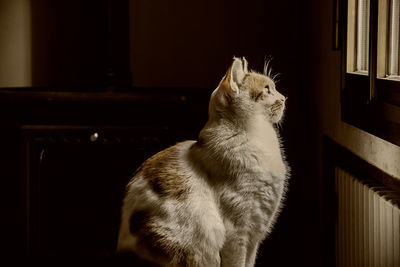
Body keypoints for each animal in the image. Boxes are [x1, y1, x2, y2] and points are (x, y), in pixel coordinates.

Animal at [117, 57, 290, 266]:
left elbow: (249, 262)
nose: (284, 98)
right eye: (267, 89)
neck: (258, 136)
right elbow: (237, 263)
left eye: (273, 88)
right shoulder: (238, 232)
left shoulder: (255, 235)